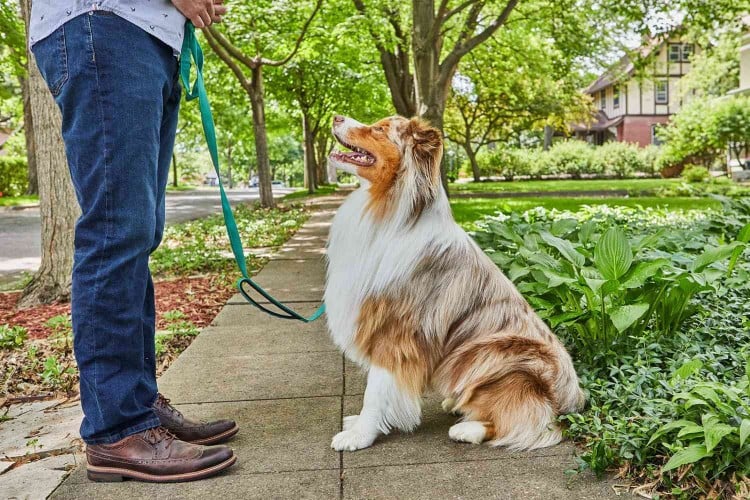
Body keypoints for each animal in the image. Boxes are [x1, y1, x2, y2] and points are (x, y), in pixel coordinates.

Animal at [326, 115, 584, 452]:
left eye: (380, 129)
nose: (336, 117)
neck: (391, 211)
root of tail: (574, 404)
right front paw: (359, 424)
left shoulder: (395, 331)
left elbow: (375, 391)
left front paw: (359, 435)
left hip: (494, 354)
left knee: (532, 421)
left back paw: (467, 428)